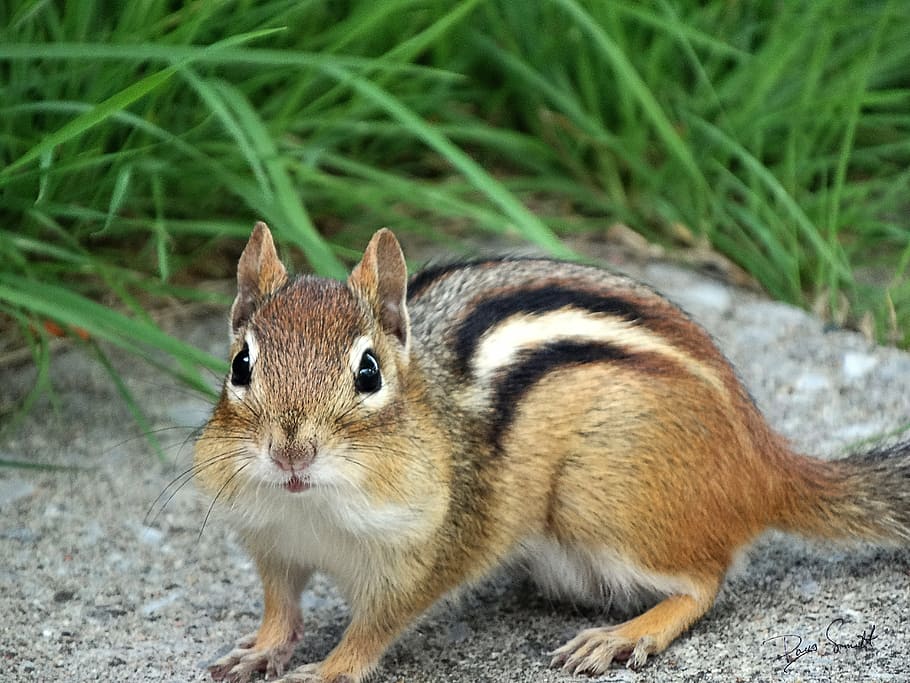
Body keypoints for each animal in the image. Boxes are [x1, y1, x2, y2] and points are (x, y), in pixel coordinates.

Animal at [195, 222, 910, 683]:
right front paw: (258, 652)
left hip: (598, 499)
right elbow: (280, 608)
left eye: (368, 373)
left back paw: (625, 635)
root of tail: (763, 460)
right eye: (240, 365)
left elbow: (373, 628)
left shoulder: (424, 553)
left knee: (705, 580)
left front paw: (325, 669)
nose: (290, 453)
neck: (313, 510)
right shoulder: (272, 542)